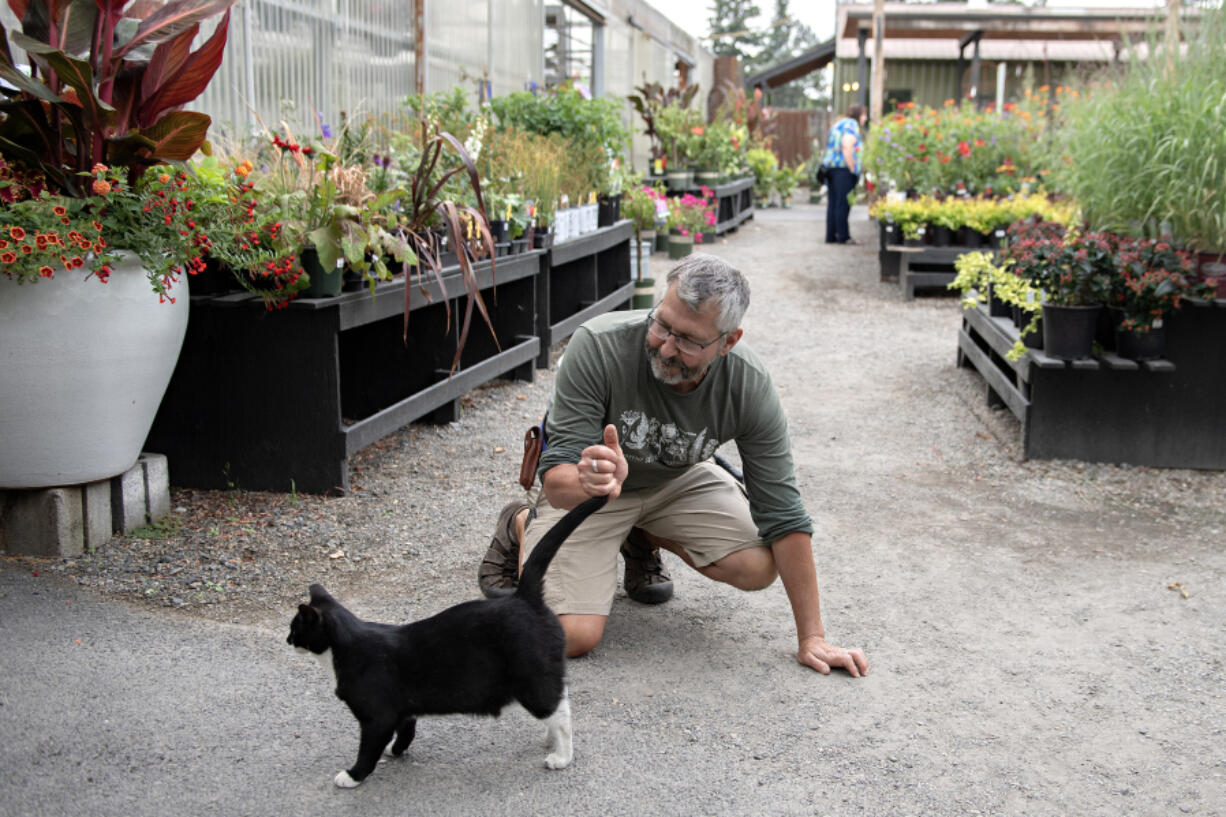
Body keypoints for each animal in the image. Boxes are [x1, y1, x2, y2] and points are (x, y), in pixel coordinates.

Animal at [286, 490, 603, 785]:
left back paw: (561, 756)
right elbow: (407, 730)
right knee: (558, 703)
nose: (288, 641)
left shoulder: (377, 717)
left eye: (294, 628)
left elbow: (367, 751)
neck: (342, 650)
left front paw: (352, 776)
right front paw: (396, 750)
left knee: (561, 713)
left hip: (532, 681)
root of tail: (523, 596)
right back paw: (551, 741)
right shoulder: (404, 710)